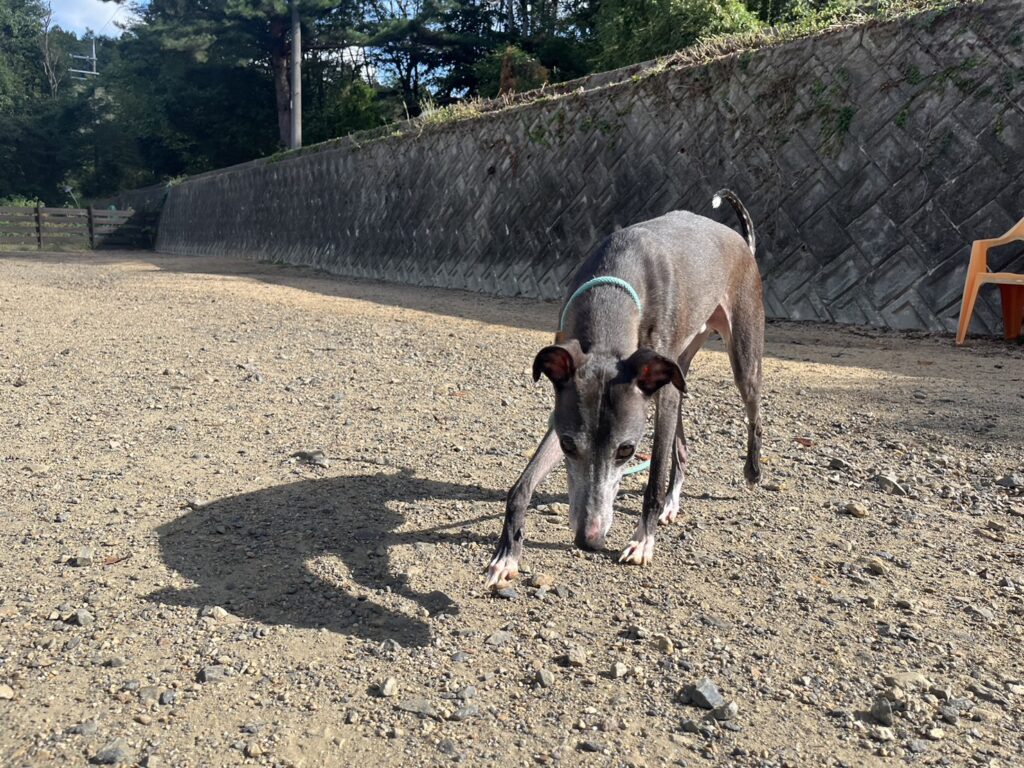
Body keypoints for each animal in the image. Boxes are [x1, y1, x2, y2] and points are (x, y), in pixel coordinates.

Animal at [486, 190, 764, 587]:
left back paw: (752, 471)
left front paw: (643, 542)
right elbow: (521, 485)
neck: (613, 291)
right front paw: (507, 553)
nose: (589, 541)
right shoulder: (564, 413)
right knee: (682, 445)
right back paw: (672, 503)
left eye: (627, 451)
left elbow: (654, 477)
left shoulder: (657, 397)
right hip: (678, 371)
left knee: (753, 412)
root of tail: (740, 240)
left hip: (741, 356)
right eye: (568, 445)